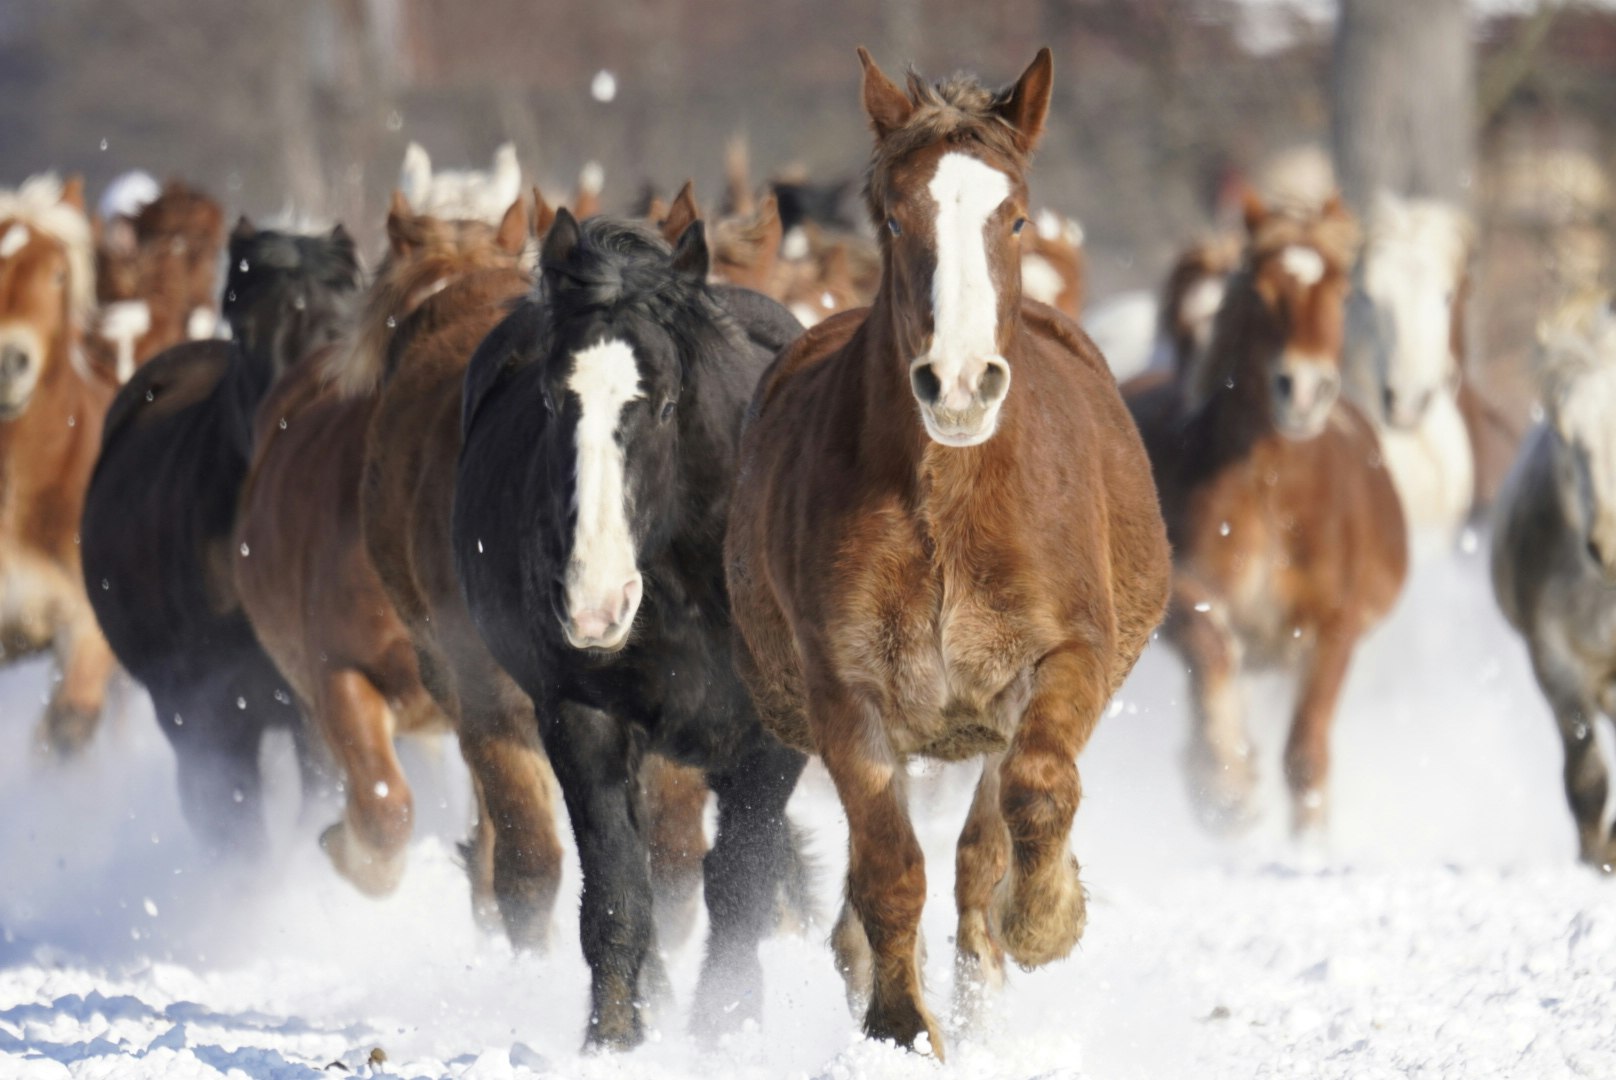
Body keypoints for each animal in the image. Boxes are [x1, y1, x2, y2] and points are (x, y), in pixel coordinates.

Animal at [453, 211, 809, 1049]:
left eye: (668, 402)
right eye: (552, 401)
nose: (594, 604)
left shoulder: (775, 738)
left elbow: (739, 884)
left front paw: (727, 1030)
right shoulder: (584, 719)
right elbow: (619, 889)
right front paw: (614, 1037)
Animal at [725, 49, 1171, 1057]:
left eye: (1015, 215)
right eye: (896, 216)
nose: (960, 382)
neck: (951, 499)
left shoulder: (1058, 660)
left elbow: (1035, 796)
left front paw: (1047, 921)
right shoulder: (847, 692)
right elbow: (888, 870)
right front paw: (897, 1025)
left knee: (984, 849)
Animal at [1129, 192, 1408, 837]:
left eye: (1342, 291)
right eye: (1261, 291)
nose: (1302, 388)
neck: (1270, 489)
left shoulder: (1333, 627)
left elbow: (1306, 755)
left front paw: (1308, 852)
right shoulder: (1188, 594)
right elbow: (1211, 646)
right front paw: (1227, 783)